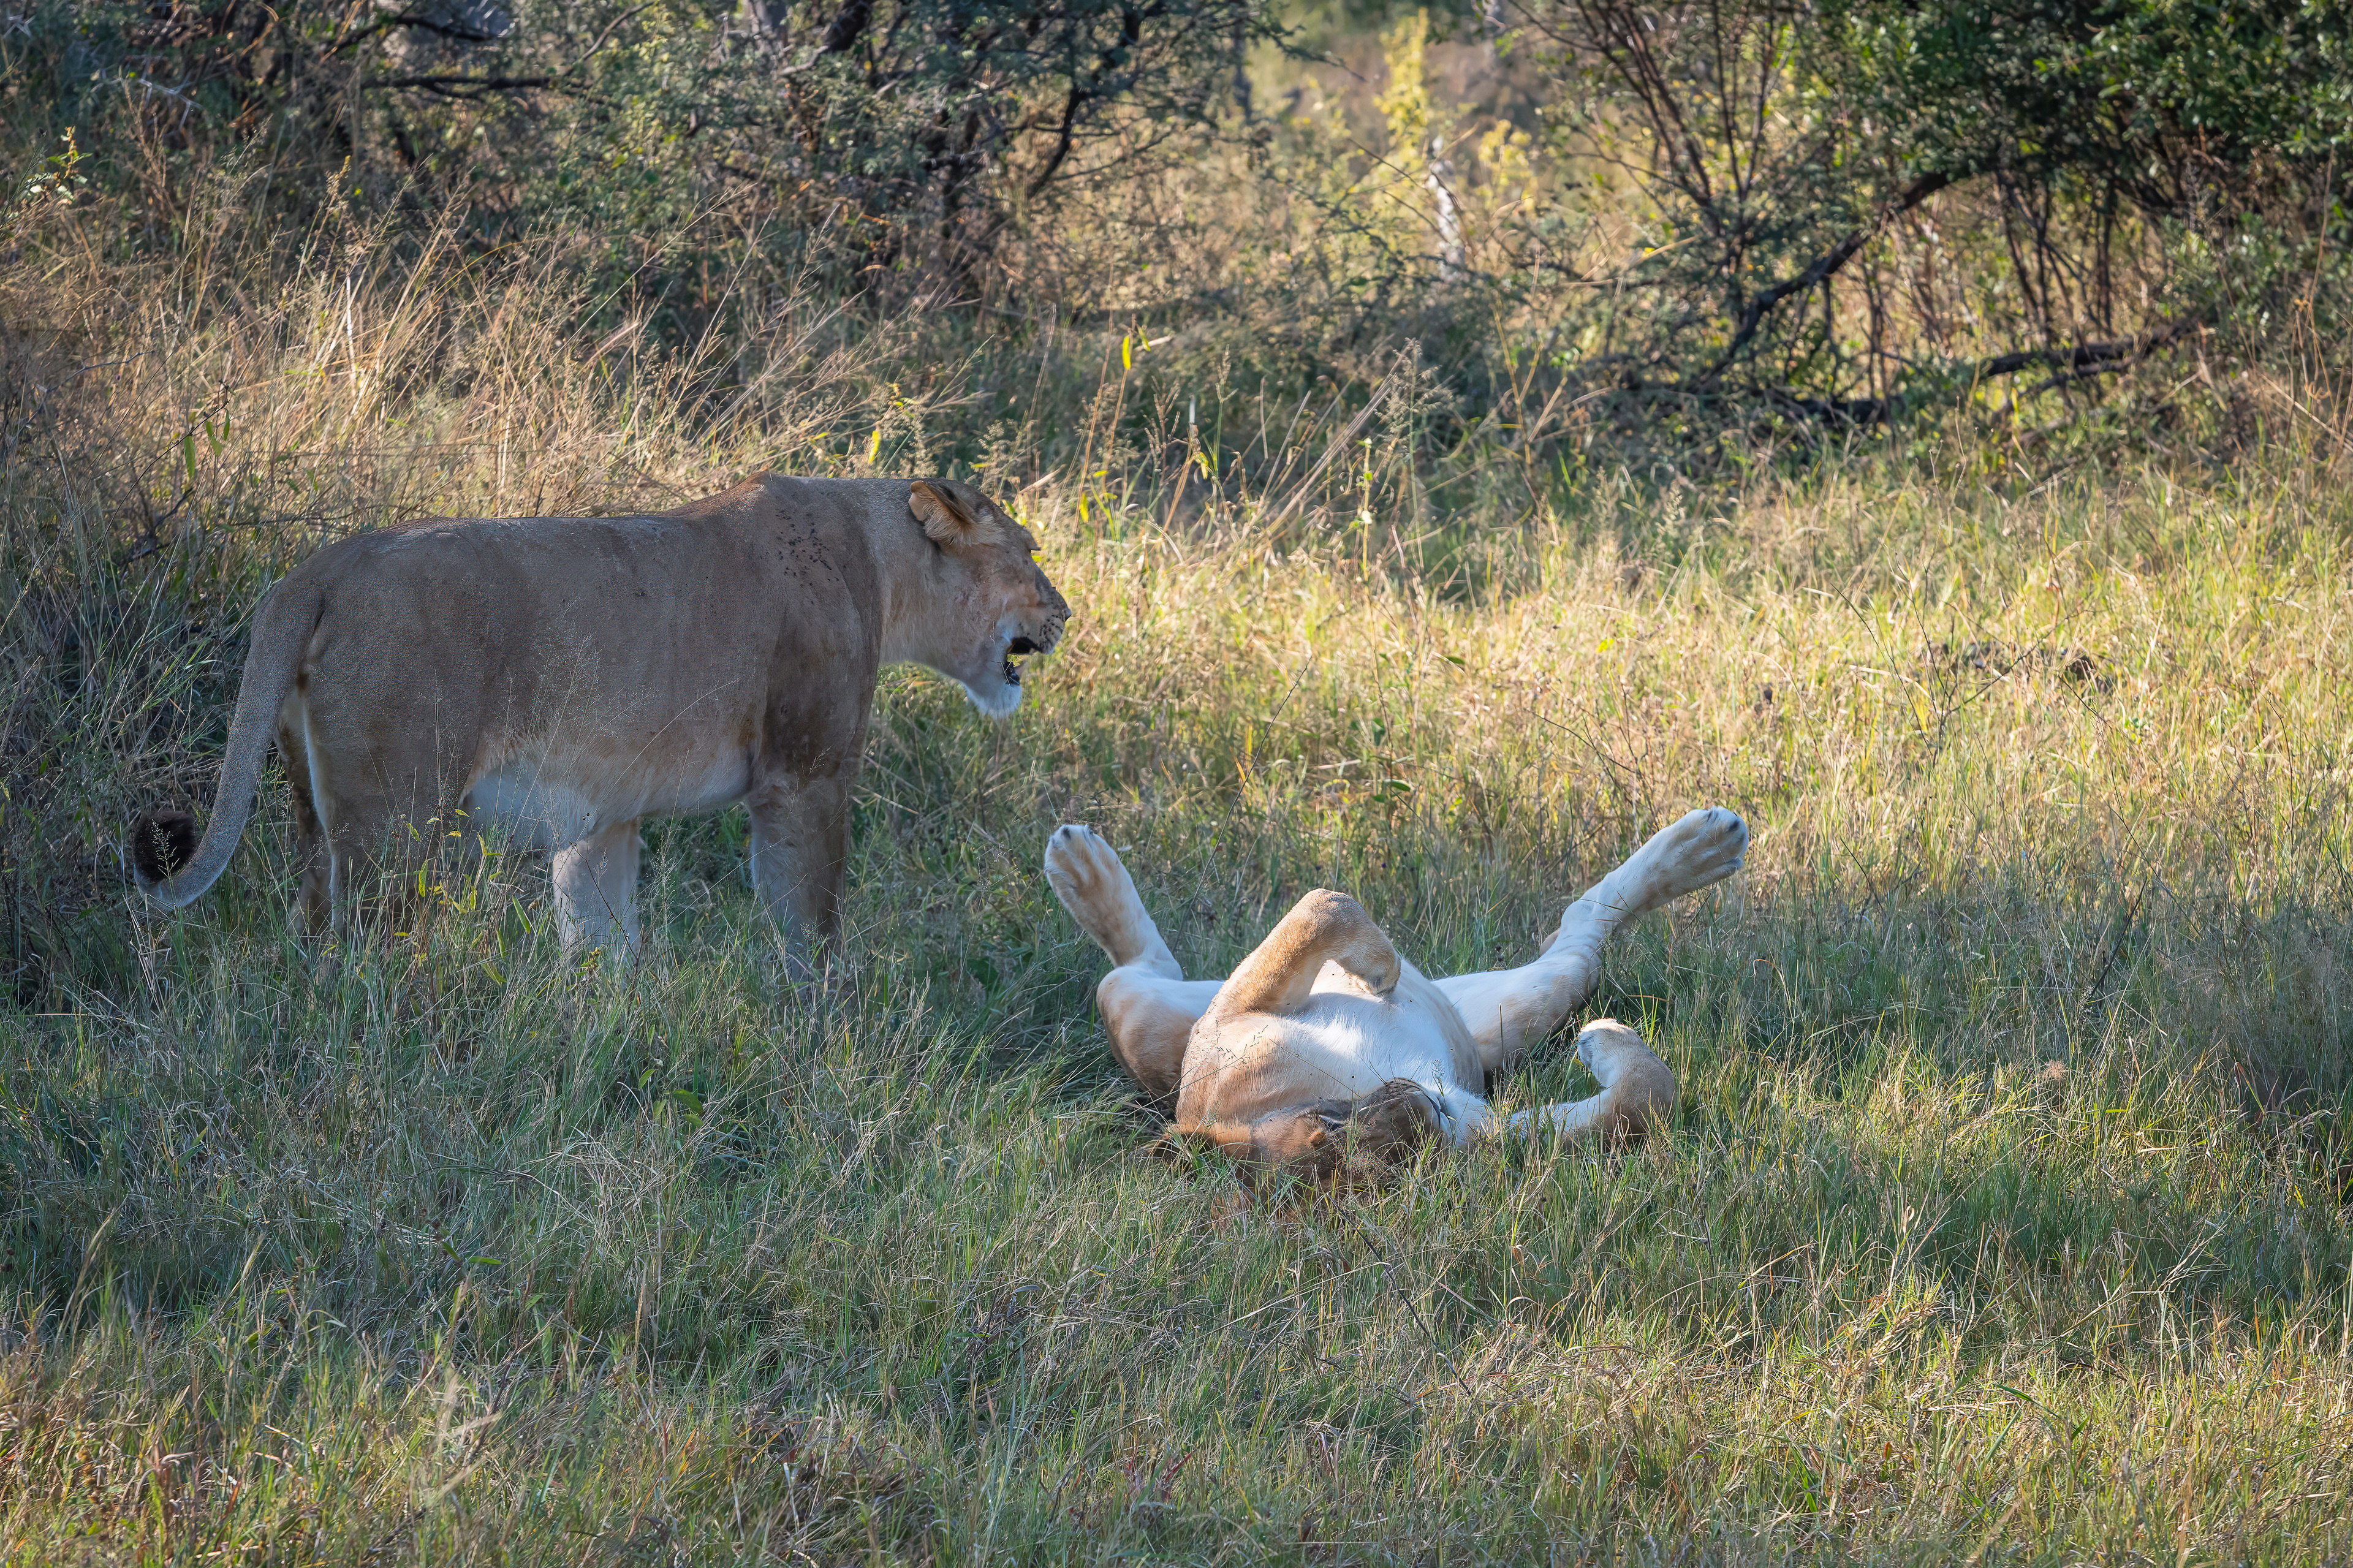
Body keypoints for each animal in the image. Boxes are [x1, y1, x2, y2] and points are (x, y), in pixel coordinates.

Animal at [130, 474, 1069, 955]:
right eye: (1028, 553)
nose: (1065, 613)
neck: (882, 562)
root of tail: (316, 569)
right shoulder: (805, 777)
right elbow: (811, 918)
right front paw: (825, 1025)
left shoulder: (604, 808)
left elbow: (602, 933)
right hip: (396, 815)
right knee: (356, 940)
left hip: (309, 806)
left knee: (309, 916)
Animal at [1043, 807, 1748, 1177]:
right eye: (1386, 1173)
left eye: (1326, 1126)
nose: (1419, 1114)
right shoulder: (1491, 1131)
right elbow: (1641, 1103)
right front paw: (1605, 1040)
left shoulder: (1238, 1017)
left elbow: (1322, 905)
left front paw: (1376, 971)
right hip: (1509, 1010)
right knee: (1578, 946)